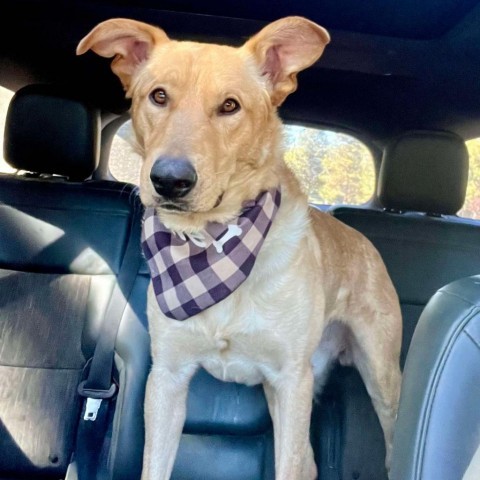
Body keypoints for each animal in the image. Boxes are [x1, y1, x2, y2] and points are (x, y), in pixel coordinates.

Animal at [78, 16, 402, 478]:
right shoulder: (168, 377)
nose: (169, 180)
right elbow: (155, 464)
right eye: (158, 96)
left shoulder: (290, 380)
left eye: (230, 106)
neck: (214, 246)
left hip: (380, 375)